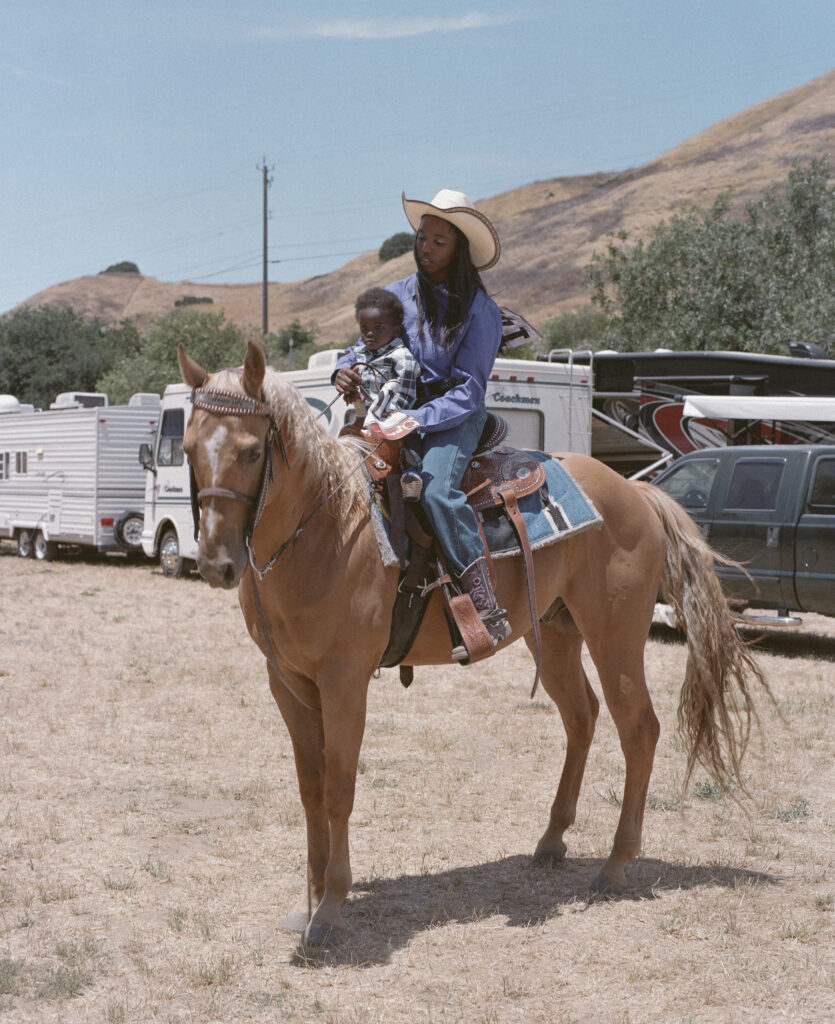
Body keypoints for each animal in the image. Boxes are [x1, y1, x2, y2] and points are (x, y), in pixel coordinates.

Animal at [178, 342, 770, 942]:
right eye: (187, 448)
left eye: (253, 451)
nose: (217, 563)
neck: (328, 529)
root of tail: (636, 491)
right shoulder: (288, 681)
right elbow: (310, 788)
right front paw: (308, 901)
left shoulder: (344, 680)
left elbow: (339, 787)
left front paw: (329, 910)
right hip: (553, 633)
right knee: (582, 716)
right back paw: (552, 840)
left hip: (615, 636)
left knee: (640, 729)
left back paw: (615, 864)